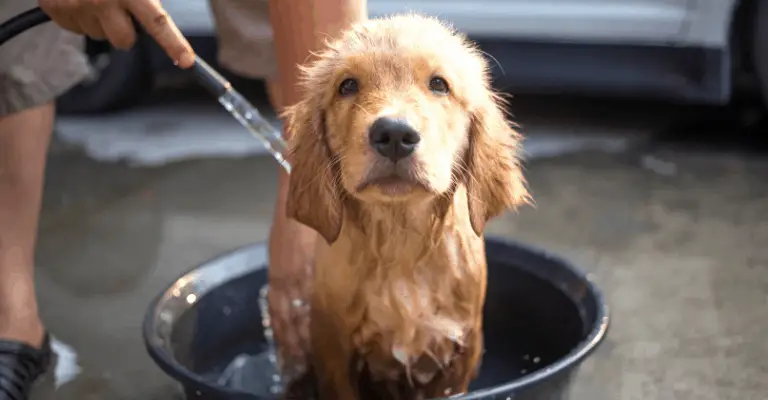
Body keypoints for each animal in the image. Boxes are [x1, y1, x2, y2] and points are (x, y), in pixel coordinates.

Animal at [284, 12, 532, 400]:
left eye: (439, 84)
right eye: (347, 86)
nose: (395, 134)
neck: (400, 241)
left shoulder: (461, 353)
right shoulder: (334, 352)